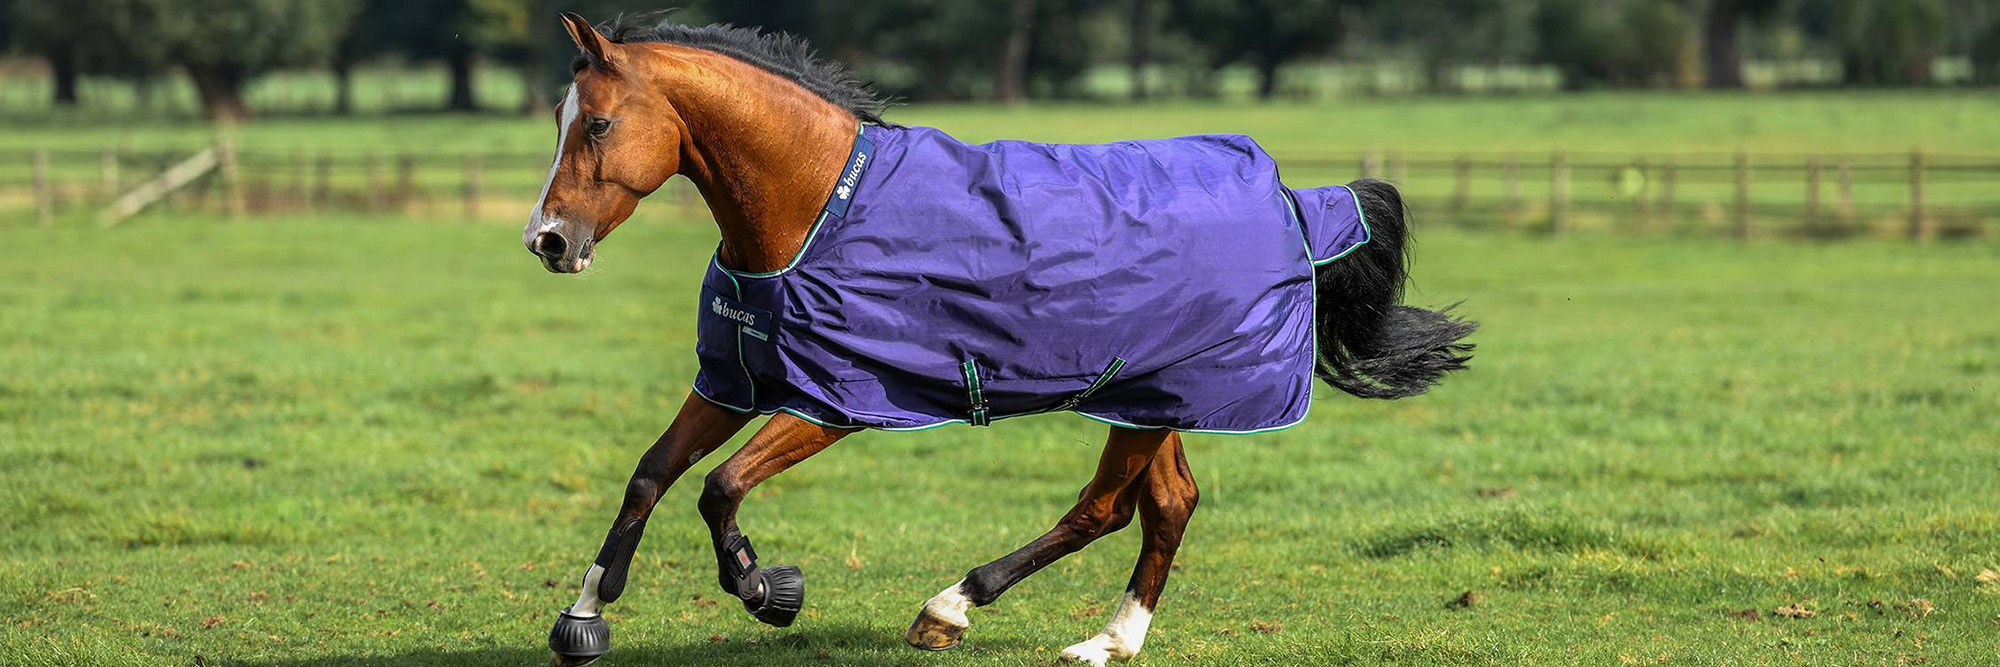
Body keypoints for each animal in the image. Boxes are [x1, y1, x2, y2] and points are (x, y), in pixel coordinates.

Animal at [527, 13, 1475, 667]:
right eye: (564, 120)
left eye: (598, 125)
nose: (548, 241)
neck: (816, 204)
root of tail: (1292, 201)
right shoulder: (732, 382)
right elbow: (651, 474)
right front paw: (585, 615)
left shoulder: (834, 401)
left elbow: (718, 486)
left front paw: (768, 588)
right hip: (1150, 396)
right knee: (1168, 504)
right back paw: (1109, 641)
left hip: (1149, 399)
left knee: (1105, 508)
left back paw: (953, 605)